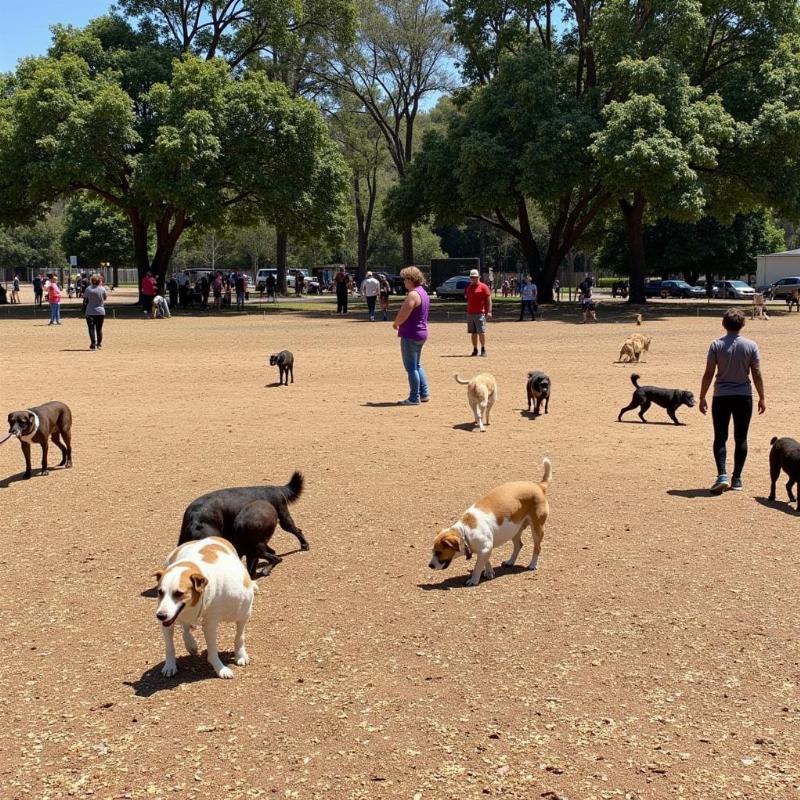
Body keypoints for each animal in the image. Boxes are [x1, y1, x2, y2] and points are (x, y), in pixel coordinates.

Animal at [155, 536, 258, 680]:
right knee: (185, 627)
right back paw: (190, 643)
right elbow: (170, 647)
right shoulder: (173, 620)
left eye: (179, 593)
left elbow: (239, 637)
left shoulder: (243, 615)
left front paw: (238, 656)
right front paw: (170, 665)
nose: (160, 616)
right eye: (160, 592)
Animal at [432, 456, 552, 588]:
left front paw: (474, 579)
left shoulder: (485, 548)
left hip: (537, 529)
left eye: (438, 552)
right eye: (433, 551)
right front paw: (489, 572)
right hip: (515, 530)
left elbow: (477, 566)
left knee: (537, 547)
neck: (465, 532)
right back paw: (510, 562)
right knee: (519, 545)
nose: (430, 565)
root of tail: (539, 486)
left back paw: (533, 564)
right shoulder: (486, 548)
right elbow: (485, 561)